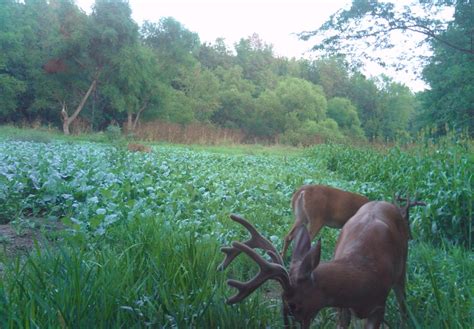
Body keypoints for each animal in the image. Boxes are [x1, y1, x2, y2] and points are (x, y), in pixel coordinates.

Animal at [217, 192, 424, 326]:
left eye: (293, 305)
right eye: (281, 301)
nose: (287, 323)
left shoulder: (379, 306)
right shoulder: (343, 308)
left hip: (402, 270)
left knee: (403, 304)